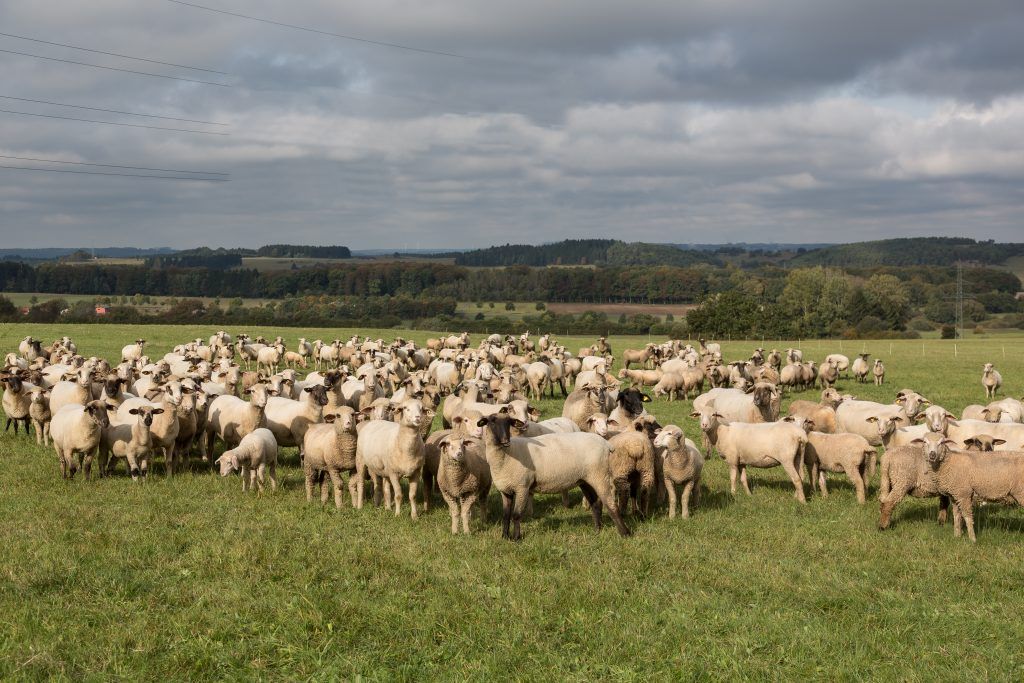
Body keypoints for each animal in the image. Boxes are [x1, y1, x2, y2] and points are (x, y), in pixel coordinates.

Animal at [473, 411, 630, 540]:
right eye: (492, 421)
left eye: (509, 422)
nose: (506, 440)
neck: (507, 455)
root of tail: (606, 444)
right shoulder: (505, 490)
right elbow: (505, 515)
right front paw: (505, 536)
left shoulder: (522, 486)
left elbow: (516, 515)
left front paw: (516, 538)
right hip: (585, 479)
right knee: (595, 503)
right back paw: (597, 530)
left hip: (600, 475)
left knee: (610, 503)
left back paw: (625, 533)